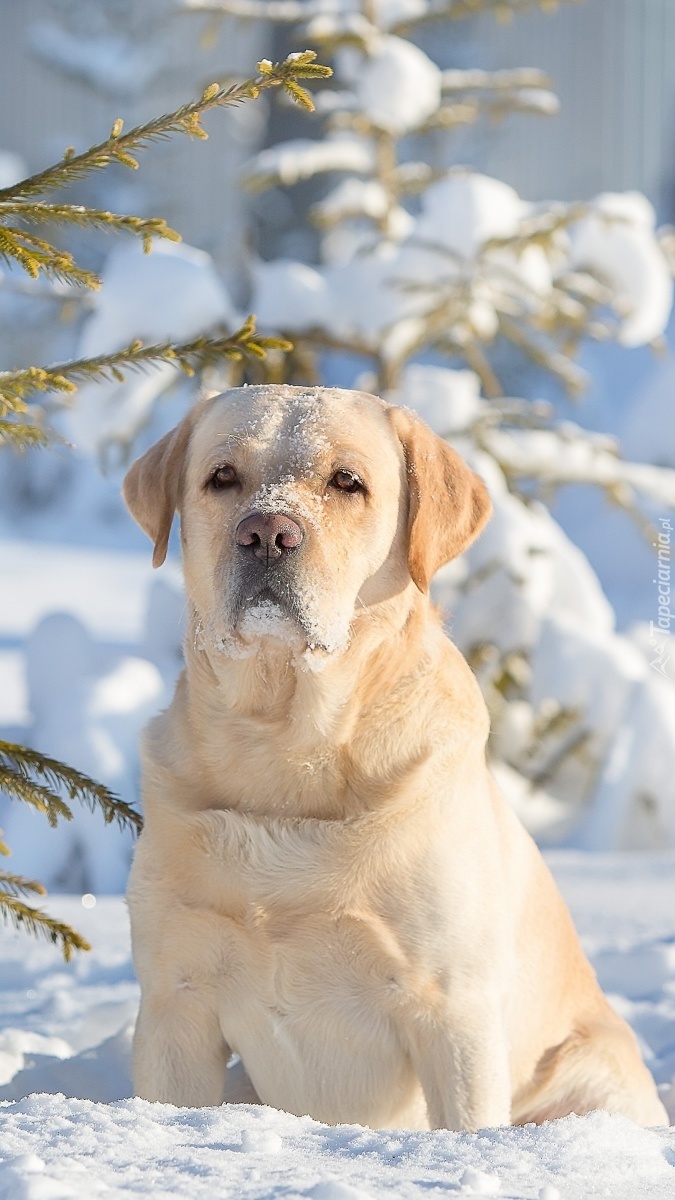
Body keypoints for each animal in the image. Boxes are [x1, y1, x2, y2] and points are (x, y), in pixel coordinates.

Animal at [123, 386, 662, 1132]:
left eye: (346, 481)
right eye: (222, 477)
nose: (267, 532)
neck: (289, 749)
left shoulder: (451, 1010)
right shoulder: (176, 999)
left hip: (587, 1075)